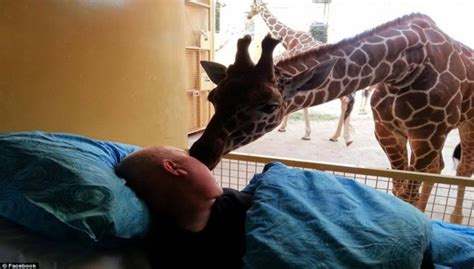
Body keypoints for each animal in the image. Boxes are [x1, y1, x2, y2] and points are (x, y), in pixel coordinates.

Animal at [244, 0, 356, 143]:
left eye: (252, 5)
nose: (248, 15)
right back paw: (338, 136)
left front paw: (305, 133)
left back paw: (342, 136)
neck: (290, 39)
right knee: (347, 101)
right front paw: (286, 127)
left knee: (346, 101)